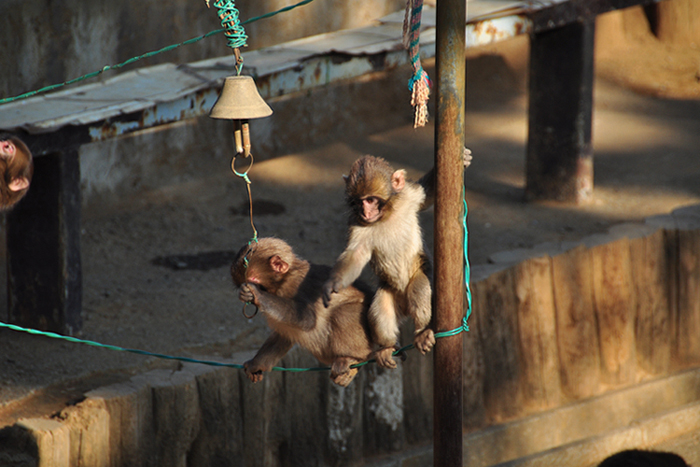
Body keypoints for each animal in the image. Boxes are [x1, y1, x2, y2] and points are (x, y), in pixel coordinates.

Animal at [231, 238, 374, 388]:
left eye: (254, 282)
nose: (247, 295)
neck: (286, 278)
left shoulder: (296, 285)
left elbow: (307, 318)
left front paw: (257, 294)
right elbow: (284, 334)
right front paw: (257, 364)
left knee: (343, 313)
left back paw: (352, 358)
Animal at [324, 150, 470, 370]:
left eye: (371, 200)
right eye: (359, 202)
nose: (365, 212)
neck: (386, 215)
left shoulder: (408, 196)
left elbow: (427, 193)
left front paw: (464, 159)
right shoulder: (356, 223)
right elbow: (355, 255)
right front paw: (334, 283)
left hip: (420, 283)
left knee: (419, 289)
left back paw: (423, 331)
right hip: (389, 291)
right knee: (379, 310)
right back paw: (387, 347)